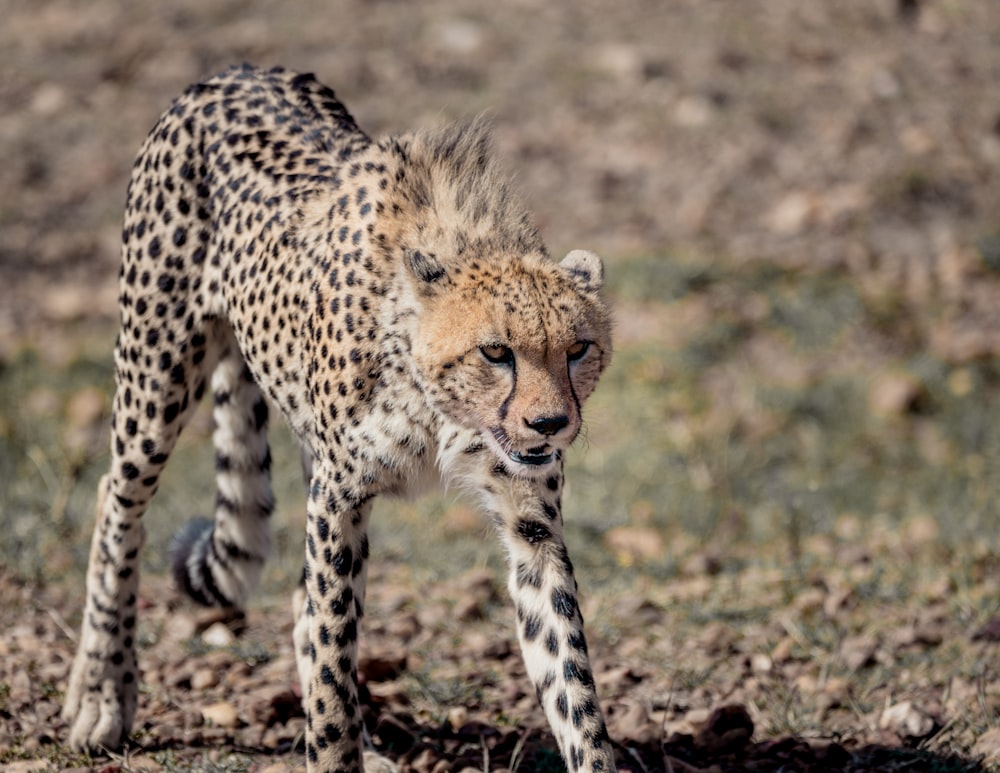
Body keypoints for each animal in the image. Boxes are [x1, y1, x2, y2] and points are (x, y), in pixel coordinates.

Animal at [64, 66, 616, 772]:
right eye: (496, 352)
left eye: (577, 349)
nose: (549, 424)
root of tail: (237, 71)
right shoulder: (338, 495)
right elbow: (331, 664)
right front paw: (330, 750)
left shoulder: (530, 524)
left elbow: (569, 677)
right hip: (155, 377)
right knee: (116, 497)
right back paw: (101, 693)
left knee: (303, 604)